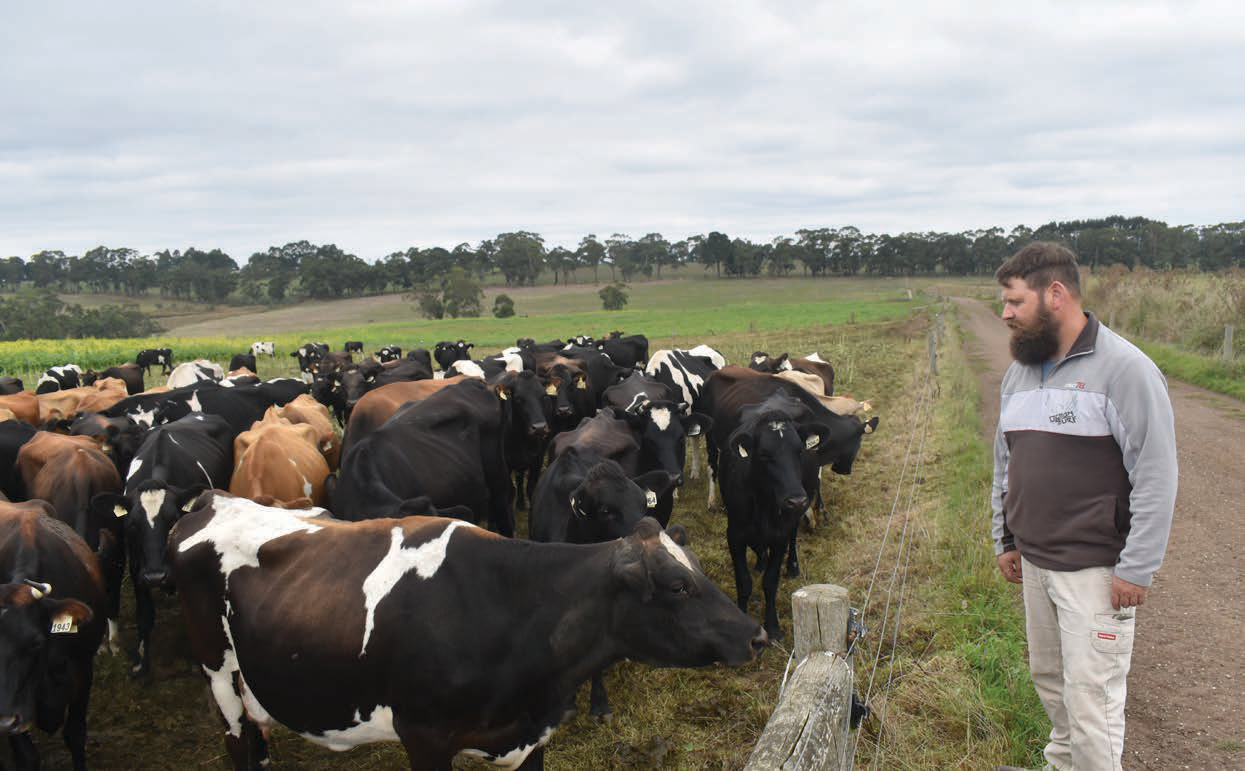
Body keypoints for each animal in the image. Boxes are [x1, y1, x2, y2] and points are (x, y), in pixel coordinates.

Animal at [169, 498, 761, 767]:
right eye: (678, 586)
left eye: (699, 570)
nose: (756, 635)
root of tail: (213, 499)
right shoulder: (425, 738)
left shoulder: (529, 738)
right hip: (218, 674)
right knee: (238, 742)